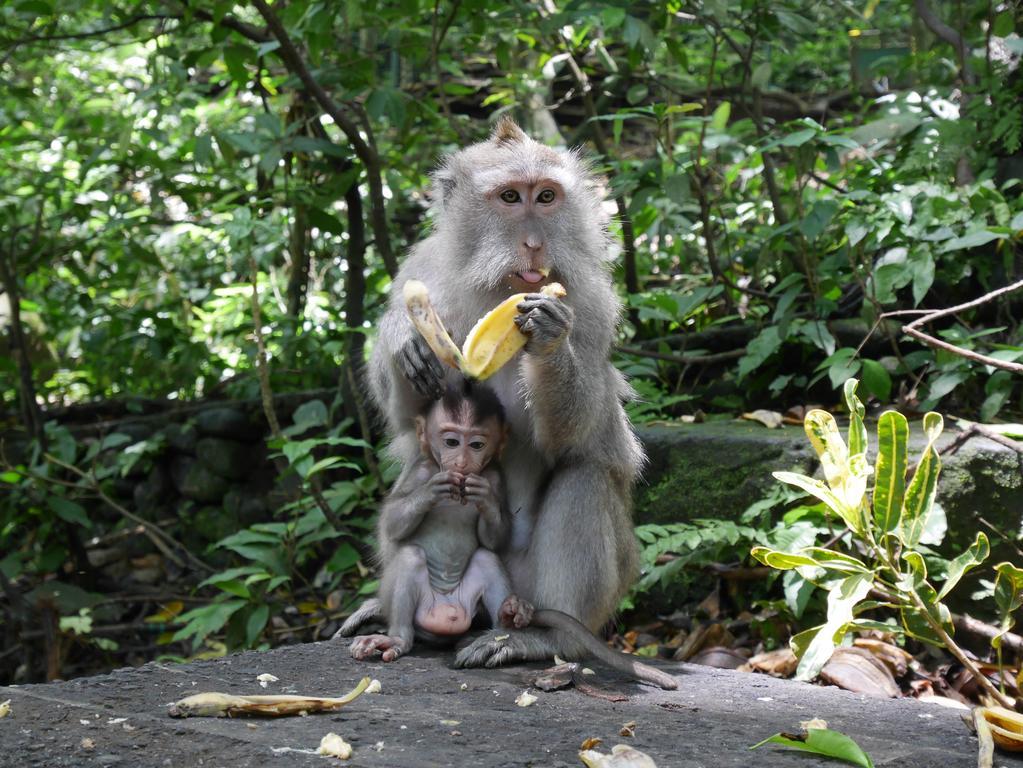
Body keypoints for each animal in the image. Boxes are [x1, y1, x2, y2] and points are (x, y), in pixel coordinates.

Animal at [345, 382, 679, 687]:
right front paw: (431, 491)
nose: (462, 462)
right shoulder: (421, 470)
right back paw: (397, 636)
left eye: (476, 444)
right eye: (451, 441)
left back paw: (515, 626)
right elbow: (393, 519)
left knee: (581, 473)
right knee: (411, 557)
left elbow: (495, 534)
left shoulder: (492, 475)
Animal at [364, 115, 642, 670]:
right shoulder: (420, 271)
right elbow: (409, 418)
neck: (502, 287)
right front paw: (404, 339)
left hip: (541, 591)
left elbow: (574, 437)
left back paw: (542, 639)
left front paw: (550, 335)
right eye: (511, 197)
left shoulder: (594, 306)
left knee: (585, 478)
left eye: (547, 196)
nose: (535, 244)